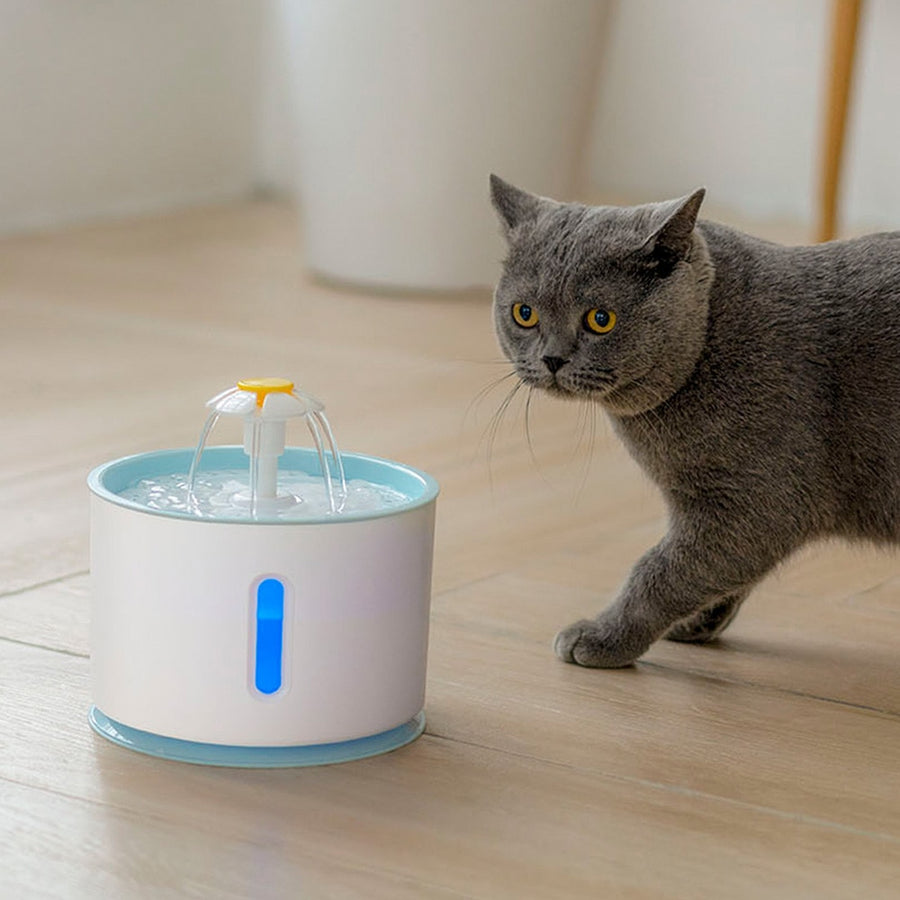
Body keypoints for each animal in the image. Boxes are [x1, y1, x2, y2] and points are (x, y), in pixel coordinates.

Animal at [488, 174, 900, 668]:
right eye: (524, 314)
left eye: (601, 320)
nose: (551, 359)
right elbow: (708, 569)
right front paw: (697, 622)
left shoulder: (756, 502)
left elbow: (661, 569)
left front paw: (603, 639)